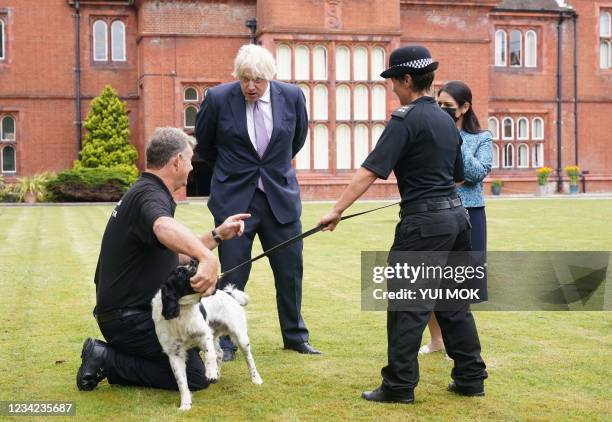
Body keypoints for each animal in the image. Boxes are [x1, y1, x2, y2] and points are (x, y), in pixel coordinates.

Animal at [152, 260, 262, 408]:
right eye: (180, 272)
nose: (194, 261)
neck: (182, 311)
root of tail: (229, 294)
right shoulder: (174, 353)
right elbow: (181, 381)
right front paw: (185, 404)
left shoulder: (204, 334)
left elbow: (210, 355)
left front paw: (210, 373)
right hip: (215, 336)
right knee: (220, 353)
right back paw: (218, 374)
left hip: (239, 336)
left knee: (248, 358)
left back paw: (256, 379)